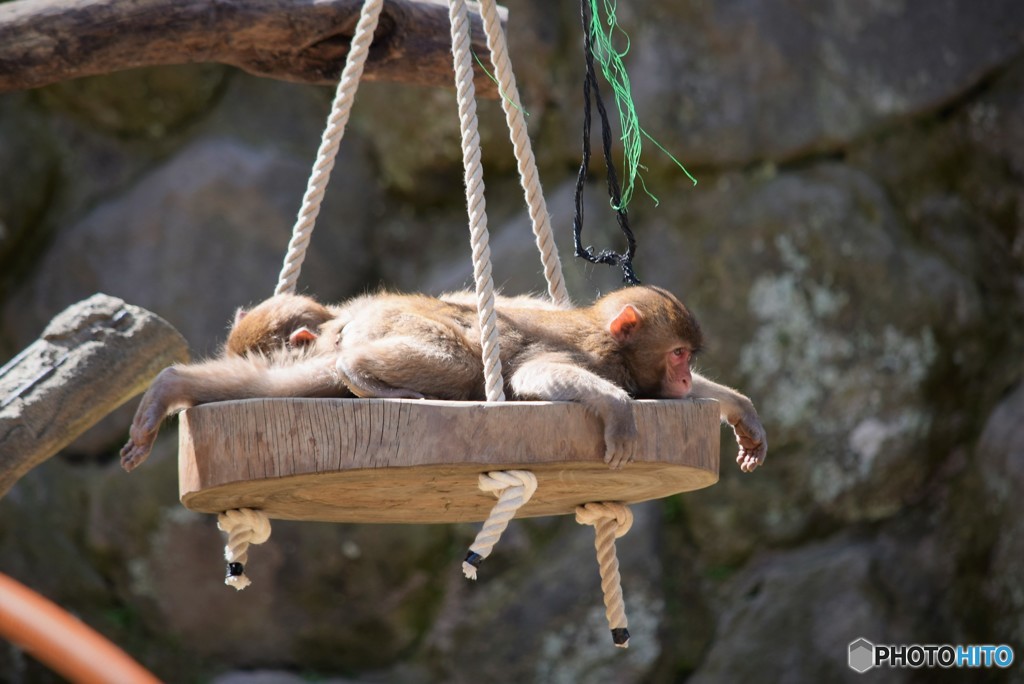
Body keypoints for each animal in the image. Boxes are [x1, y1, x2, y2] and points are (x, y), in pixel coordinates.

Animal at [119, 286, 765, 473]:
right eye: (678, 354)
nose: (683, 378)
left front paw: (741, 410)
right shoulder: (594, 353)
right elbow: (534, 375)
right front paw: (618, 408)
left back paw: (171, 385)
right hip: (404, 326)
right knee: (460, 364)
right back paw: (360, 375)